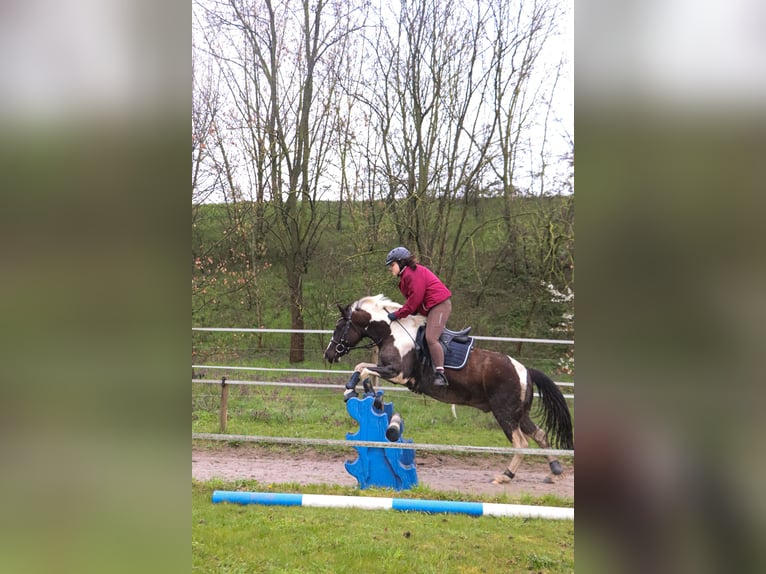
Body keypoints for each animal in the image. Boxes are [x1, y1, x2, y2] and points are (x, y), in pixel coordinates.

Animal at [324, 294, 576, 484]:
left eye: (339, 327)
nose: (328, 354)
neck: (392, 332)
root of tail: (525, 370)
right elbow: (362, 369)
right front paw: (362, 392)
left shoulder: (397, 373)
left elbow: (363, 369)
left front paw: (350, 390)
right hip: (519, 413)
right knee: (540, 434)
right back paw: (555, 470)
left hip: (504, 412)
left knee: (521, 443)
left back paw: (505, 476)